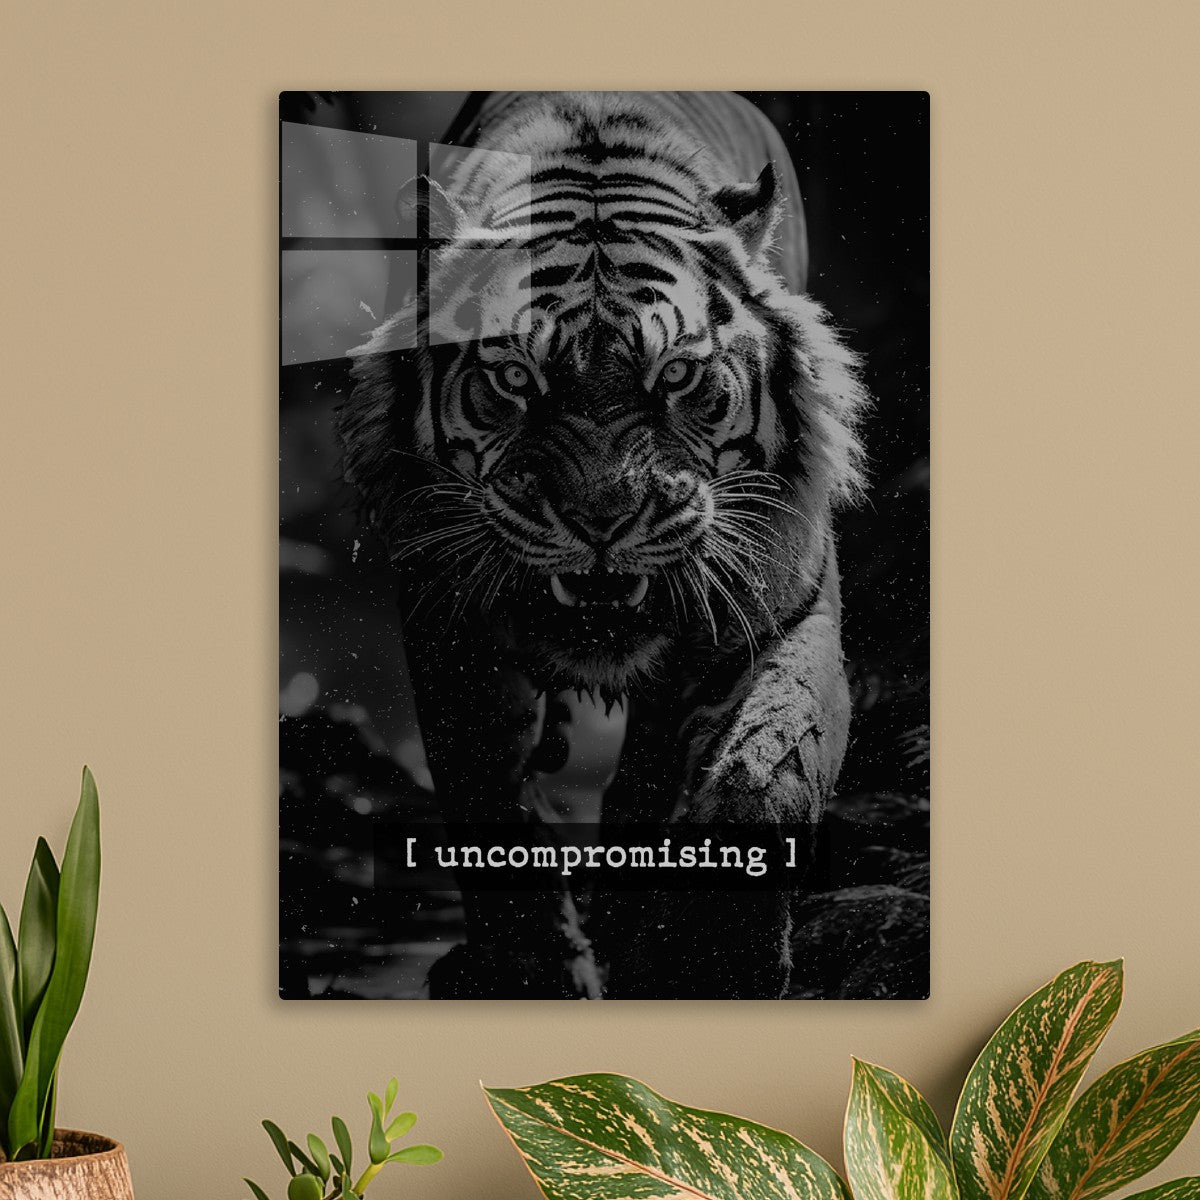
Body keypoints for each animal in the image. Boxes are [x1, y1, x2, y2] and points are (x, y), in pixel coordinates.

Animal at [338, 91, 868, 999]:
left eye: (679, 376)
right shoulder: (450, 629)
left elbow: (762, 775)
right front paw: (531, 974)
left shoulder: (782, 613)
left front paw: (720, 958)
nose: (601, 521)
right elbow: (487, 799)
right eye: (515, 378)